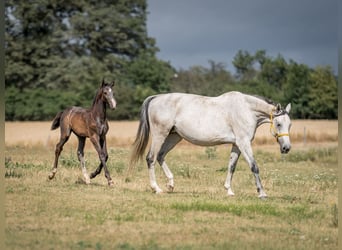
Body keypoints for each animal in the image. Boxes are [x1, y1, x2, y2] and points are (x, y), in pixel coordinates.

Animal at [130, 91, 292, 198]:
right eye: (278, 124)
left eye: (289, 125)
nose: (286, 148)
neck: (246, 110)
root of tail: (155, 98)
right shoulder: (244, 143)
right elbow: (254, 166)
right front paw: (262, 193)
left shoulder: (237, 145)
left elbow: (231, 166)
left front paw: (229, 190)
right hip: (160, 135)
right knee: (151, 158)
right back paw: (156, 188)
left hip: (174, 137)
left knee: (160, 156)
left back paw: (170, 184)